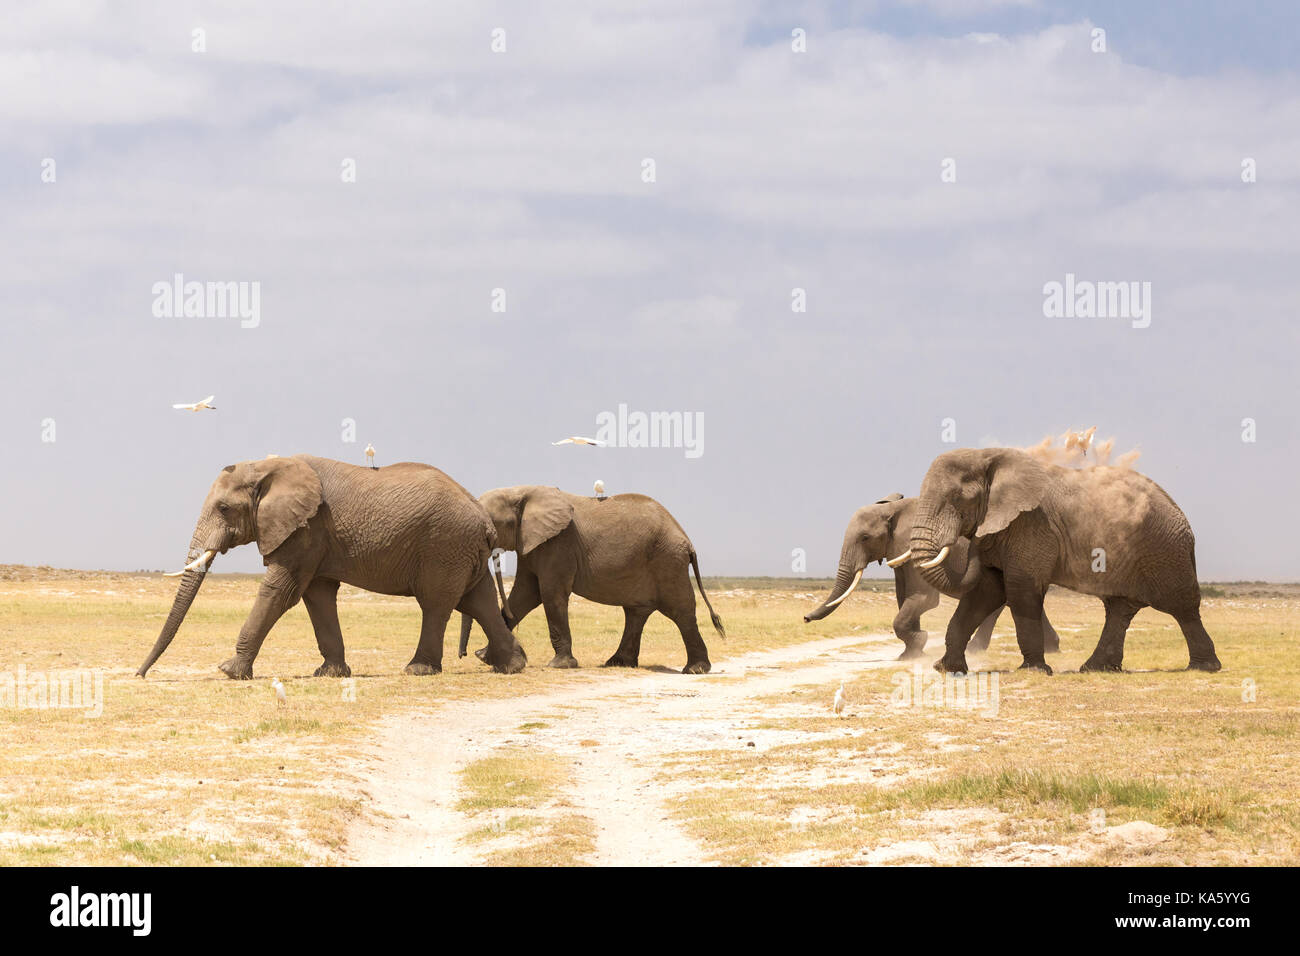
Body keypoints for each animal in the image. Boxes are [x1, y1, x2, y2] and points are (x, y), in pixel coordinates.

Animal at [137, 455, 527, 681]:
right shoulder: (314, 536)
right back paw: (511, 665)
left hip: (443, 545)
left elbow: (281, 591)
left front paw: (230, 671)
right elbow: (318, 596)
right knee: (476, 600)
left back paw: (418, 670)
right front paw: (329, 674)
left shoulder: (306, 528)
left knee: (435, 603)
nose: (140, 674)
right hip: (461, 550)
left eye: (223, 509)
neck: (268, 466)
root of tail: (484, 520)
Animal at [460, 486, 728, 671]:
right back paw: (618, 663)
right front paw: (484, 657)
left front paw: (560, 666)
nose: (463, 655)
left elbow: (550, 594)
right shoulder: (532, 543)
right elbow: (525, 595)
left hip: (668, 561)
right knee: (636, 613)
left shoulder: (559, 544)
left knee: (680, 612)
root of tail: (687, 540)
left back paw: (694, 670)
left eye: (491, 525)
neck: (521, 491)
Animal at [800, 494, 1055, 658]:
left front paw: (918, 642)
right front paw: (910, 653)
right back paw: (1051, 648)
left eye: (865, 538)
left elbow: (923, 599)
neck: (893, 508)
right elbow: (904, 599)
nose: (805, 618)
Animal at [904, 447, 1216, 671]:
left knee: (1182, 607)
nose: (975, 541)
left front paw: (1034, 670)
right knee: (1119, 610)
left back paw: (1204, 668)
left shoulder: (1032, 525)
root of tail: (1181, 515)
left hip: (1163, 552)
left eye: (958, 498)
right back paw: (1096, 669)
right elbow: (986, 592)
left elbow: (1020, 591)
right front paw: (946, 669)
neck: (988, 456)